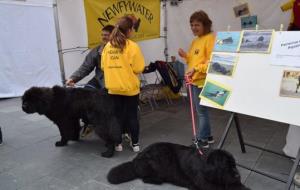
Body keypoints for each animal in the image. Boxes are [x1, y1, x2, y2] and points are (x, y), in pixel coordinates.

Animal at [108, 142, 251, 190]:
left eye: (234, 165)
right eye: (226, 166)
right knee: (145, 177)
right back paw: (157, 180)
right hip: (158, 160)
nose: (237, 175)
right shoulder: (206, 184)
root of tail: (135, 160)